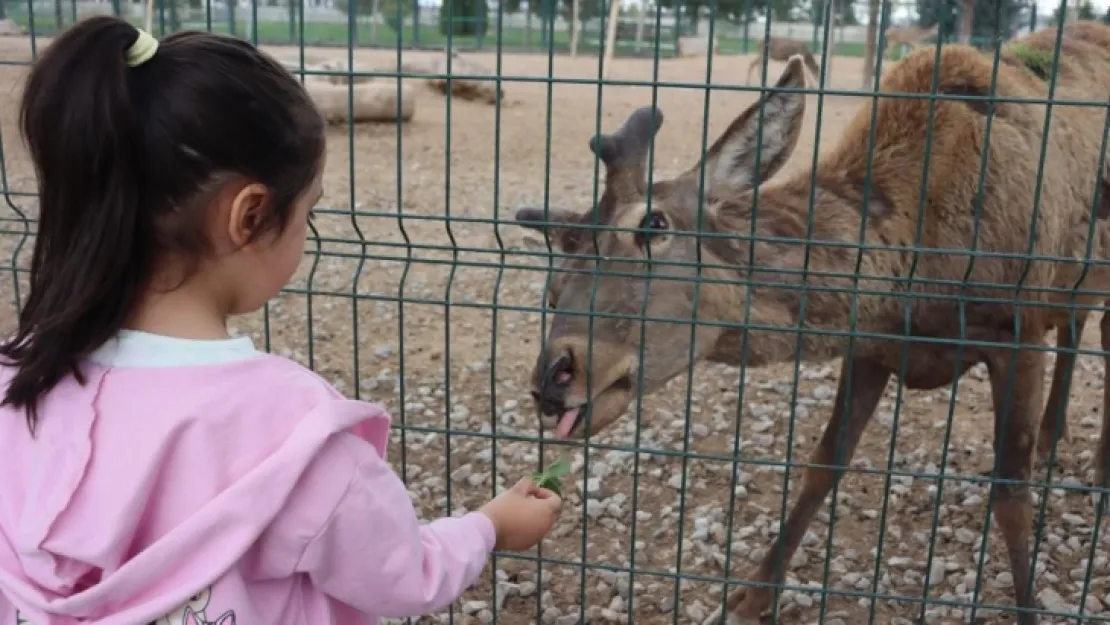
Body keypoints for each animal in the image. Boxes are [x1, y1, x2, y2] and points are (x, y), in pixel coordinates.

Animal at [515, 19, 1110, 625]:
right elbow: (824, 464)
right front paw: (752, 595)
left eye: (653, 224)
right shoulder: (870, 345)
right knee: (1077, 324)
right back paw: (1052, 437)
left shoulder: (1017, 328)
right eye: (554, 288)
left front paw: (1028, 607)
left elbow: (1011, 494)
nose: (554, 375)